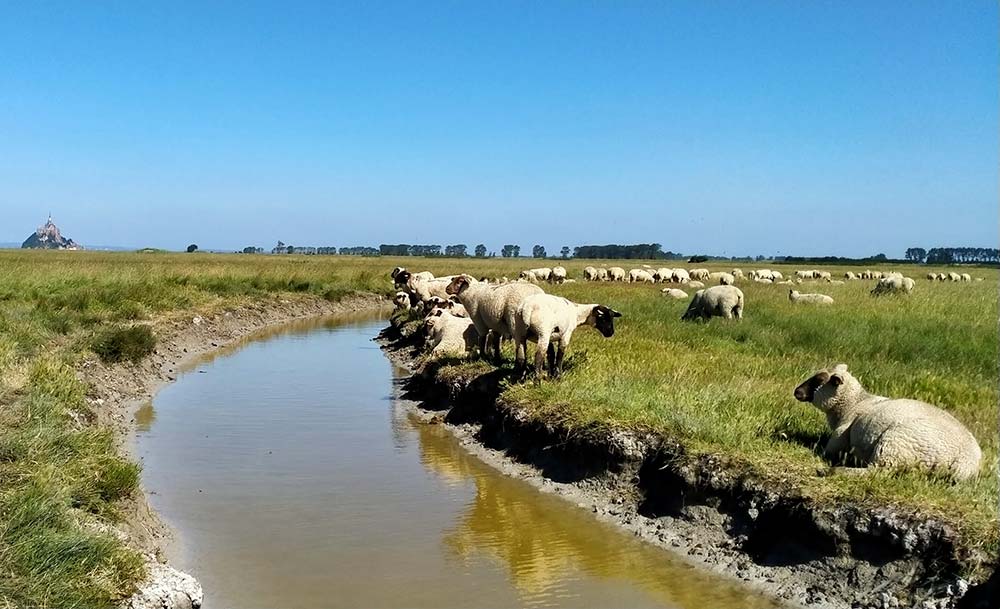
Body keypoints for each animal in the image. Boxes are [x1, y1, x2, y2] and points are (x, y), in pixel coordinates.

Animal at [796, 360, 984, 480]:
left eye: (819, 380)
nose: (796, 391)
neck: (854, 402)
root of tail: (965, 462)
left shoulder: (842, 432)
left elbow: (829, 450)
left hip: (894, 446)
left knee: (877, 472)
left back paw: (831, 471)